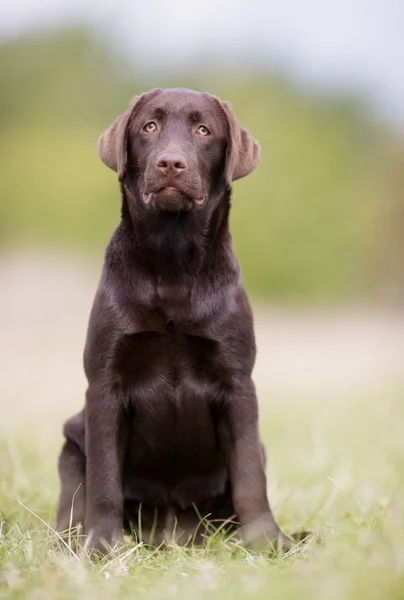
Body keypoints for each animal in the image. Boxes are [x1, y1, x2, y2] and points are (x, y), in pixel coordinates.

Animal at [57, 88, 300, 552]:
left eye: (203, 130)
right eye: (148, 127)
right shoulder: (104, 385)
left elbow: (249, 477)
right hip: (72, 438)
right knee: (72, 498)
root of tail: (172, 532)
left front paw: (267, 542)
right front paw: (103, 546)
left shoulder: (238, 382)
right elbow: (104, 479)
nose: (170, 163)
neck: (172, 260)